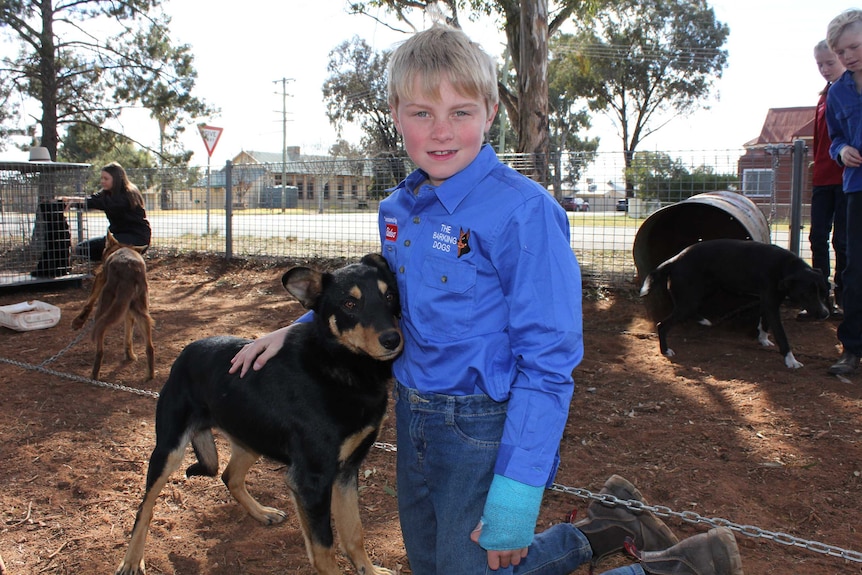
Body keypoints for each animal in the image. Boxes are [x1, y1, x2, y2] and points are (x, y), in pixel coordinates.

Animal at [73, 232, 154, 380]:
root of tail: (130, 269)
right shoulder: (129, 312)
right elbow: (128, 338)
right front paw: (129, 356)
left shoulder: (100, 278)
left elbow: (89, 302)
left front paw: (78, 321)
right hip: (142, 314)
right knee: (150, 347)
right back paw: (149, 375)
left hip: (103, 308)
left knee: (100, 347)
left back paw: (94, 375)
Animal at [114, 255, 404, 575]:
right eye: (349, 304)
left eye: (390, 296)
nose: (393, 339)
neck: (338, 364)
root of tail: (187, 351)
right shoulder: (312, 480)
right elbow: (324, 551)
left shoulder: (346, 470)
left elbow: (354, 533)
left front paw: (369, 569)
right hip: (169, 449)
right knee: (145, 507)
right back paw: (131, 559)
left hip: (251, 435)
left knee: (229, 476)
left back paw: (261, 512)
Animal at [640, 238, 832, 368]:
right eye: (806, 294)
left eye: (824, 292)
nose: (825, 314)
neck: (785, 267)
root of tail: (675, 259)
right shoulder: (772, 305)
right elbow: (781, 335)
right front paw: (791, 360)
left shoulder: (768, 303)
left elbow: (764, 323)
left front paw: (763, 339)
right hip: (691, 298)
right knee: (663, 324)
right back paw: (665, 350)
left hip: (704, 291)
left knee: (689, 310)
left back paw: (703, 320)